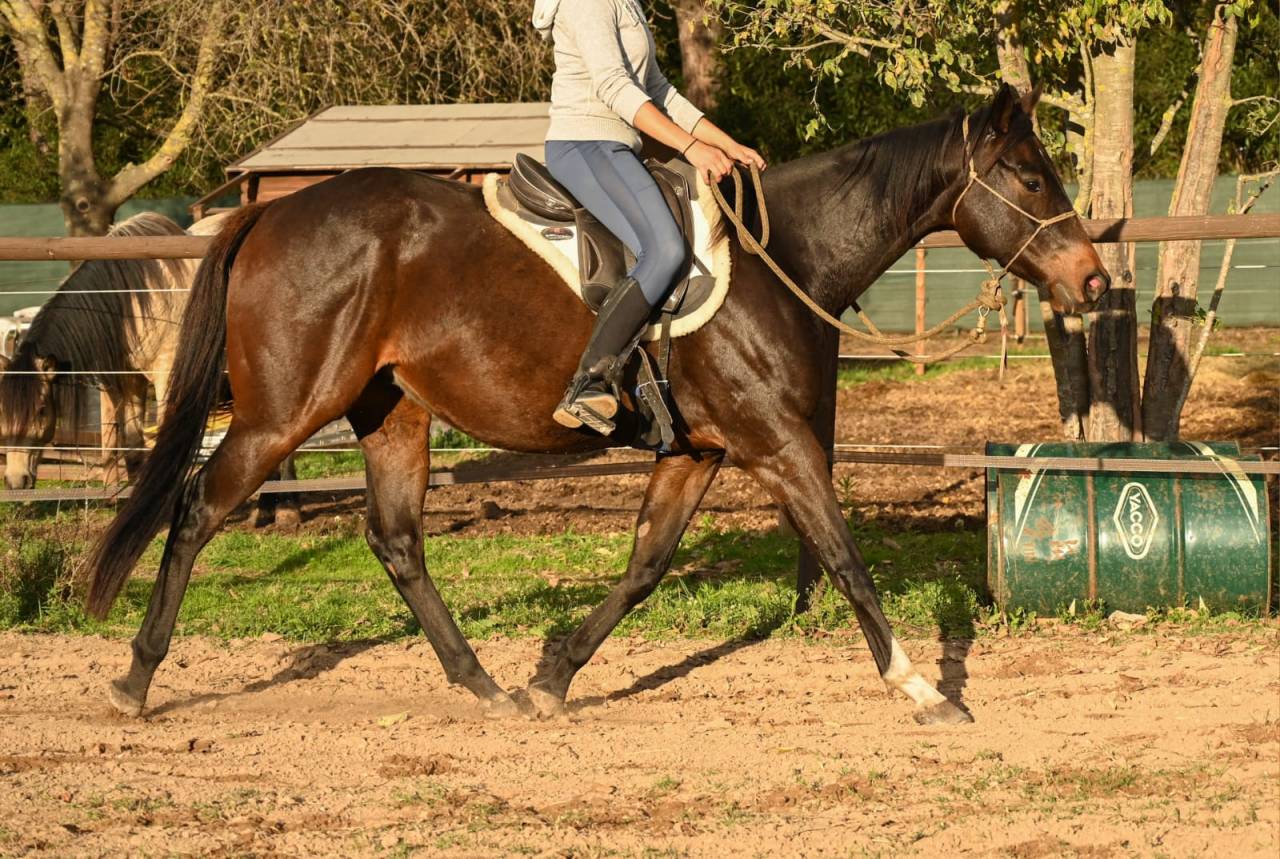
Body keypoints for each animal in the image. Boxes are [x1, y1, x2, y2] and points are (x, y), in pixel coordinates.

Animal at [79, 85, 1108, 725]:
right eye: (1030, 179)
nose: (1094, 280)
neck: (786, 258)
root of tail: (270, 211)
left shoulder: (696, 453)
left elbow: (645, 566)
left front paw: (552, 675)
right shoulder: (781, 447)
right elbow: (849, 563)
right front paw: (921, 688)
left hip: (391, 412)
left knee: (398, 542)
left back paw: (484, 685)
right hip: (281, 413)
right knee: (198, 509)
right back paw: (132, 679)